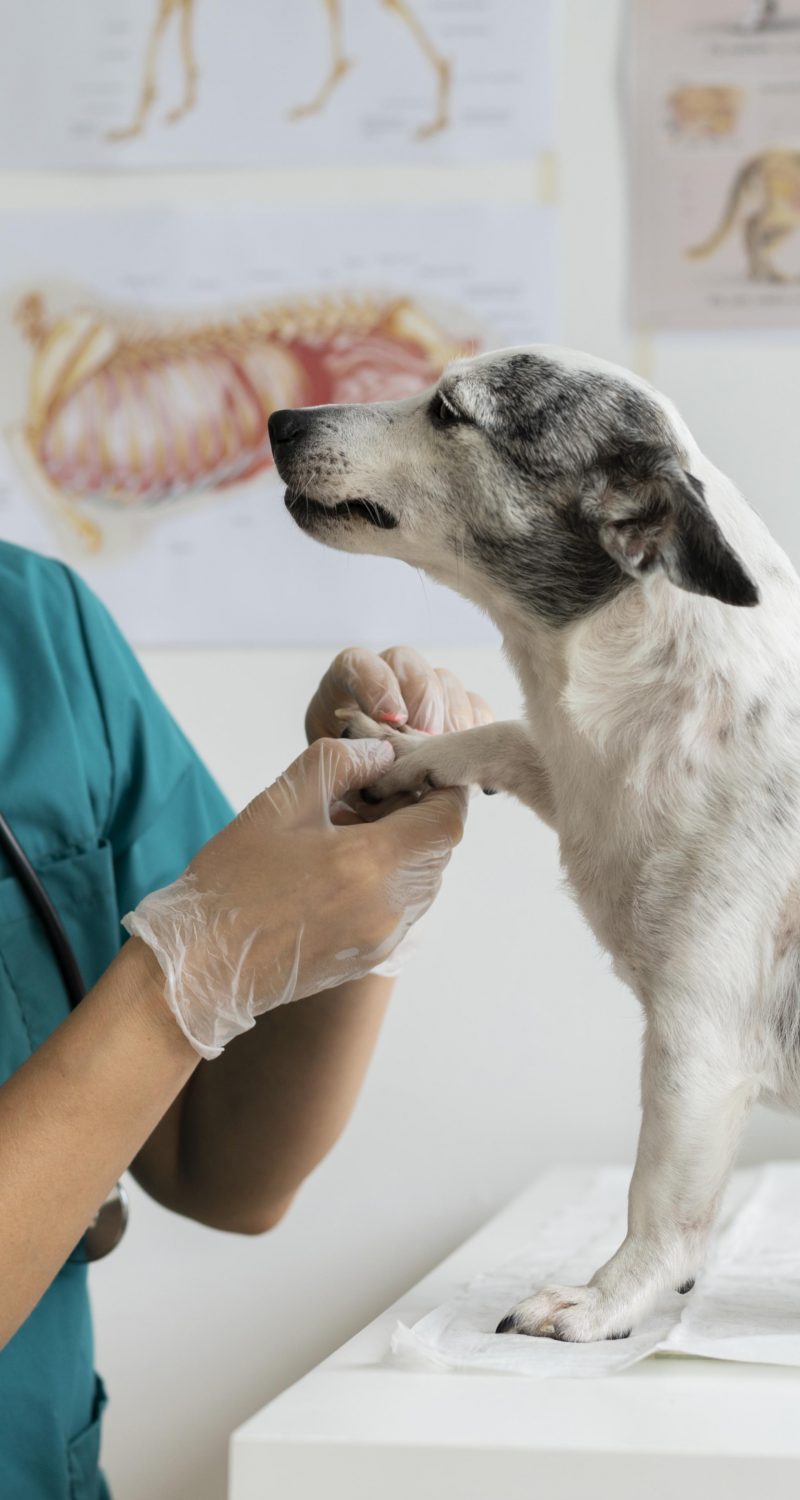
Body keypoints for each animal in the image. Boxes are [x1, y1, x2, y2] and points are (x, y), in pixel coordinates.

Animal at [269, 346, 800, 1342]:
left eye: (448, 411)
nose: (281, 420)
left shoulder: (697, 1042)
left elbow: (659, 1201)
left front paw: (604, 1301)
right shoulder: (573, 778)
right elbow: (504, 739)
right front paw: (403, 751)